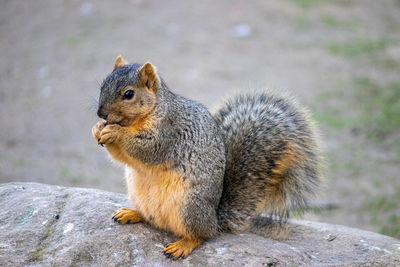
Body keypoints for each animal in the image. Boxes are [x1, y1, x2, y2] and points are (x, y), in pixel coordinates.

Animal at [92, 56, 320, 260]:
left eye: (129, 94)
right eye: (103, 84)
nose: (101, 113)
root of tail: (215, 220)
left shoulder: (168, 133)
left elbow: (147, 149)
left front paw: (115, 133)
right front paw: (97, 129)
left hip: (189, 207)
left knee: (202, 235)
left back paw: (183, 245)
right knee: (152, 219)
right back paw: (131, 214)